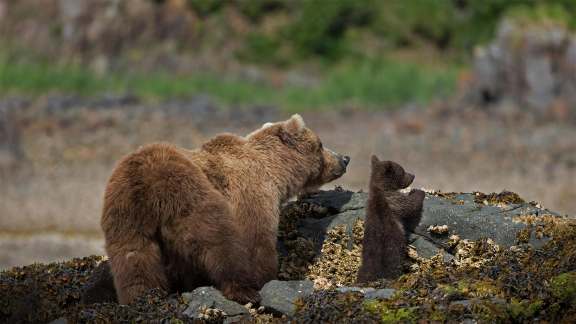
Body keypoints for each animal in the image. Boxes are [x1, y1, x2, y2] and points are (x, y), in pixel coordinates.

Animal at [101, 114, 348, 304]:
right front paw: (266, 277)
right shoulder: (251, 193)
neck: (276, 173)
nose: (345, 158)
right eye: (321, 144)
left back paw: (141, 298)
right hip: (189, 194)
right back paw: (243, 290)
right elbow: (256, 241)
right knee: (218, 242)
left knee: (133, 260)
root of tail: (146, 184)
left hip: (125, 215)